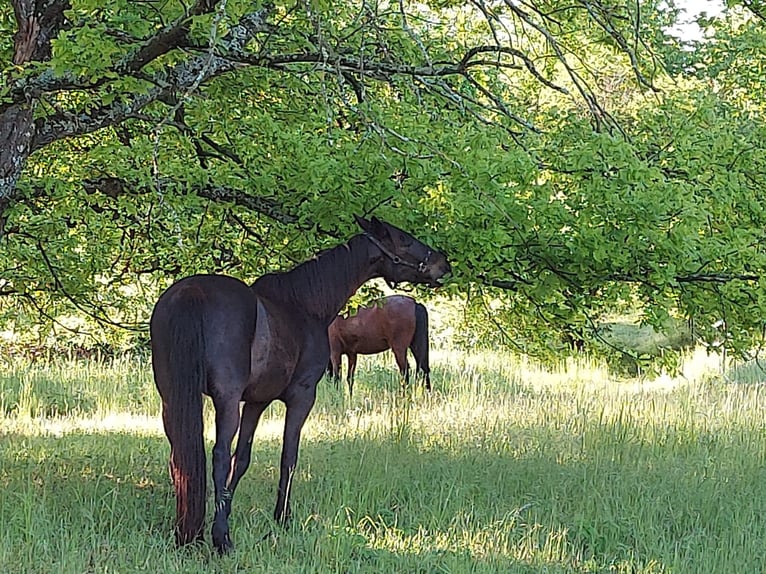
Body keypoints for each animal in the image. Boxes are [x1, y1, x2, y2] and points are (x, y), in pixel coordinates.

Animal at [150, 215, 450, 552]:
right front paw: (282, 517)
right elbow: (287, 458)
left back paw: (186, 531)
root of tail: (192, 292)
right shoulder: (302, 397)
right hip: (225, 401)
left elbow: (242, 460)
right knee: (217, 456)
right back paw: (221, 537)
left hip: (171, 397)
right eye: (404, 239)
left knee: (180, 457)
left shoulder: (257, 401)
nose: (443, 263)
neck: (305, 304)